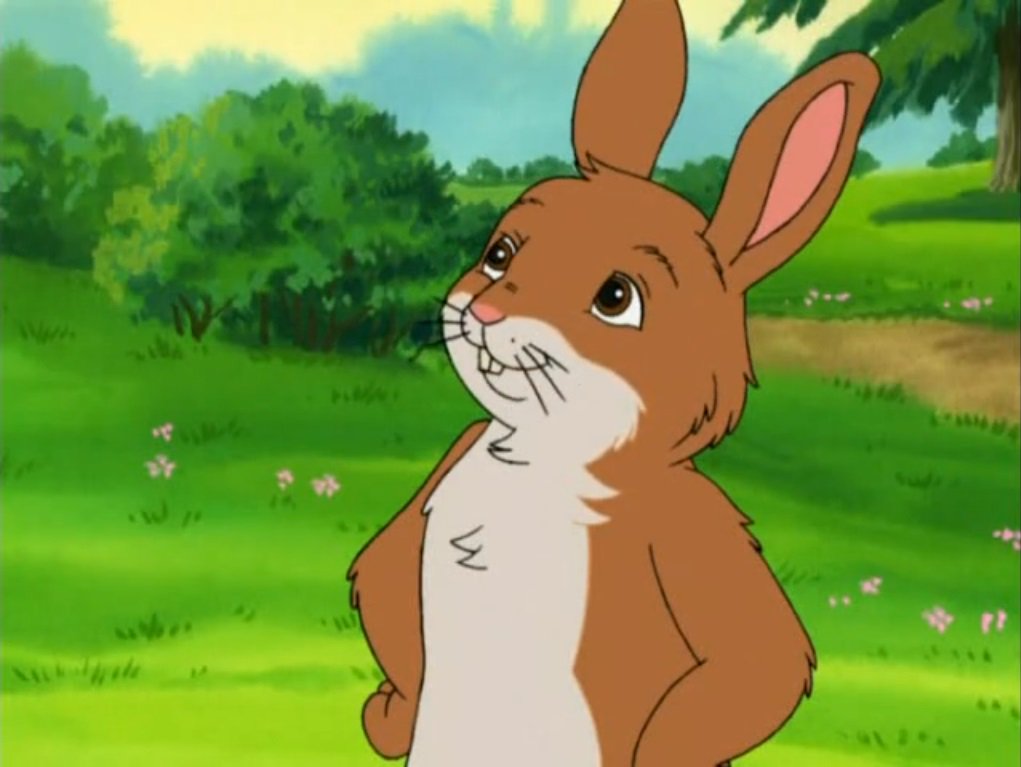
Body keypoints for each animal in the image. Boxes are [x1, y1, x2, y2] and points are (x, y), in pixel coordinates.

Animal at [347, 0, 881, 764]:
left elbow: (758, 659)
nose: (486, 312)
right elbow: (382, 566)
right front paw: (391, 713)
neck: (539, 459)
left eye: (616, 298)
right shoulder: (451, 461)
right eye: (500, 254)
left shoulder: (691, 525)